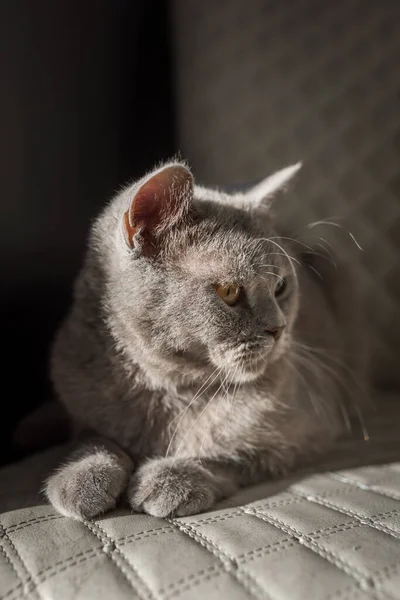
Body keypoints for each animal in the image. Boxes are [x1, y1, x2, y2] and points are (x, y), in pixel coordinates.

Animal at [43, 161, 366, 520]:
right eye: (229, 291)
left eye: (280, 286)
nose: (279, 328)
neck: (169, 391)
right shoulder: (83, 414)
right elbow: (93, 440)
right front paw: (82, 477)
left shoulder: (307, 432)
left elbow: (227, 454)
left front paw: (169, 478)